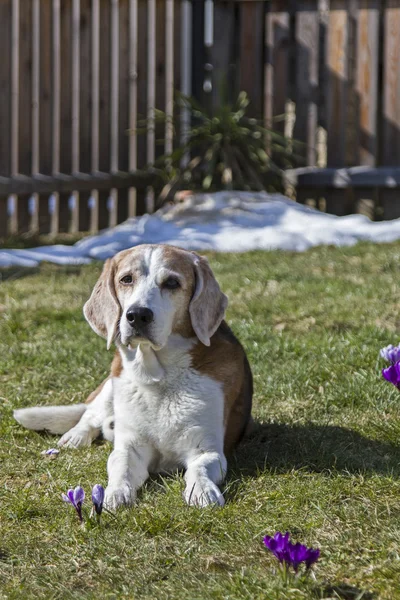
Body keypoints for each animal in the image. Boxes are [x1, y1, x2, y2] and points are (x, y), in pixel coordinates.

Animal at [15, 244, 255, 510]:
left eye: (172, 283)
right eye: (126, 279)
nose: (137, 315)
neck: (159, 377)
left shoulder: (206, 449)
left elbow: (198, 469)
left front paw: (203, 490)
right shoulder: (130, 448)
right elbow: (121, 469)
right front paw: (114, 493)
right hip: (110, 385)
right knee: (90, 415)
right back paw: (76, 436)